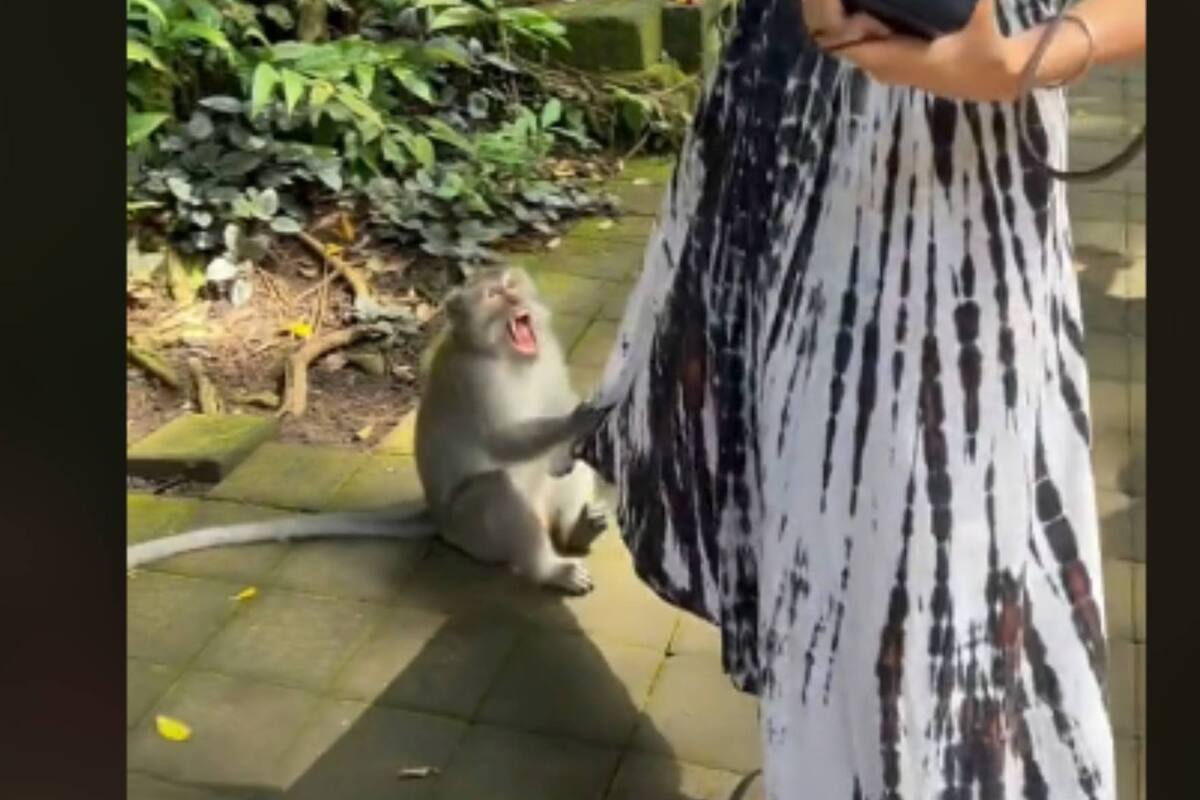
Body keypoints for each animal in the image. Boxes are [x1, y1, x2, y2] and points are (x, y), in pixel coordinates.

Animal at [126, 266, 611, 594]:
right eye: (493, 295)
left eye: (513, 286)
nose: (513, 301)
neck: (509, 357)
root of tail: (435, 518)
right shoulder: (475, 380)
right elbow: (502, 442)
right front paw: (579, 418)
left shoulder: (547, 355)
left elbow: (558, 435)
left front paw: (579, 426)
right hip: (470, 529)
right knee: (493, 491)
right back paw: (549, 569)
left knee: (561, 474)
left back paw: (576, 531)